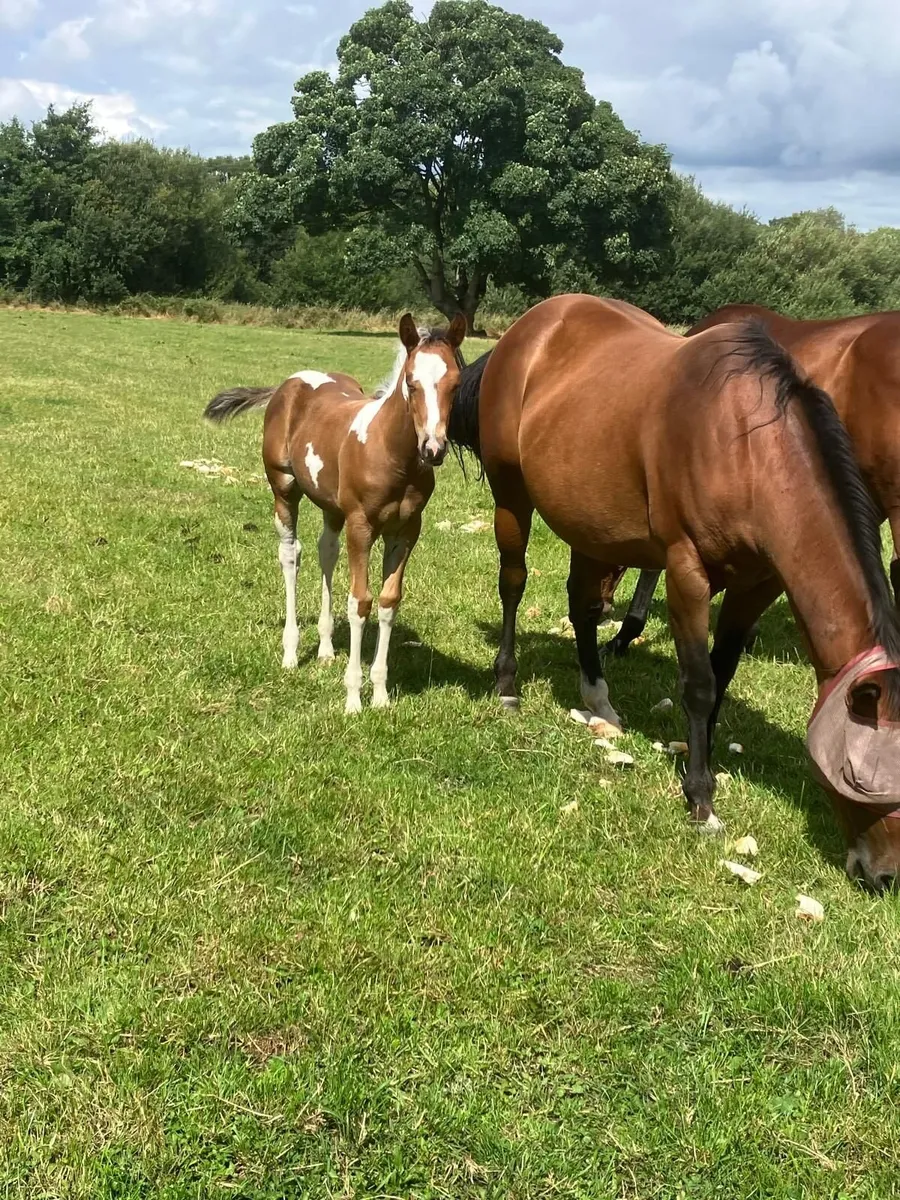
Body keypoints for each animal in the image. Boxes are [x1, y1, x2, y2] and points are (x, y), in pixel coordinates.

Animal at [204, 313, 466, 713]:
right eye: (411, 382)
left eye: (455, 383)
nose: (433, 449)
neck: (390, 452)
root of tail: (290, 383)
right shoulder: (361, 525)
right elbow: (360, 602)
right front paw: (354, 698)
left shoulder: (406, 530)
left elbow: (388, 601)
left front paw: (380, 695)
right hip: (284, 490)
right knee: (290, 555)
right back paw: (291, 653)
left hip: (331, 508)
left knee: (326, 551)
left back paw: (326, 648)